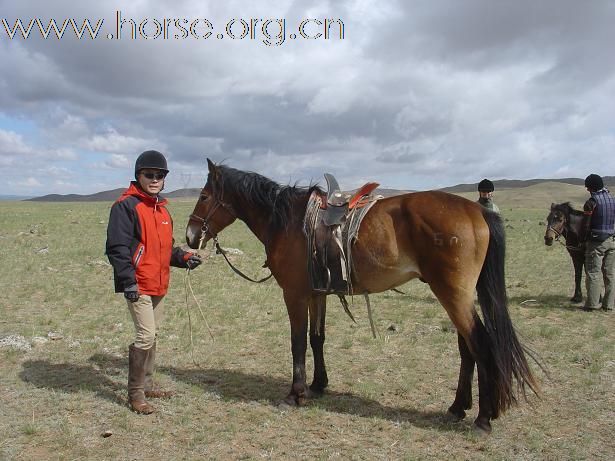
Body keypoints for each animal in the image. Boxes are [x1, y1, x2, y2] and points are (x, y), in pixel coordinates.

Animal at [184, 160, 540, 434]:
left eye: (203, 195)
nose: (189, 236)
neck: (288, 221)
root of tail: (476, 210)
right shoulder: (317, 292)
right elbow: (317, 338)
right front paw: (318, 385)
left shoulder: (294, 294)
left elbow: (297, 342)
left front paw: (296, 393)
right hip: (456, 297)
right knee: (467, 348)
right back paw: (458, 407)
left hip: (453, 294)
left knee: (481, 345)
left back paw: (483, 418)